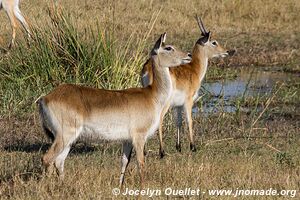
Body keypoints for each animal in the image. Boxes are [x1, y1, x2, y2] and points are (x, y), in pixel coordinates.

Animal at [37, 33, 191, 188]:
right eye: (168, 47)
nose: (188, 55)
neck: (152, 96)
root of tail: (45, 98)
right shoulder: (139, 137)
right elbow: (140, 162)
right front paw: (143, 187)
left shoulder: (127, 140)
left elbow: (124, 162)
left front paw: (120, 186)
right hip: (65, 135)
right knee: (47, 158)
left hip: (68, 139)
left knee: (59, 161)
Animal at [142, 16, 236, 158]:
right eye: (214, 42)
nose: (228, 51)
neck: (194, 69)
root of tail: (148, 69)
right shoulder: (188, 101)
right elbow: (190, 121)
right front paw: (193, 147)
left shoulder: (178, 105)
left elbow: (179, 122)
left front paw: (179, 147)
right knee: (159, 121)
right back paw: (162, 152)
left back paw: (145, 151)